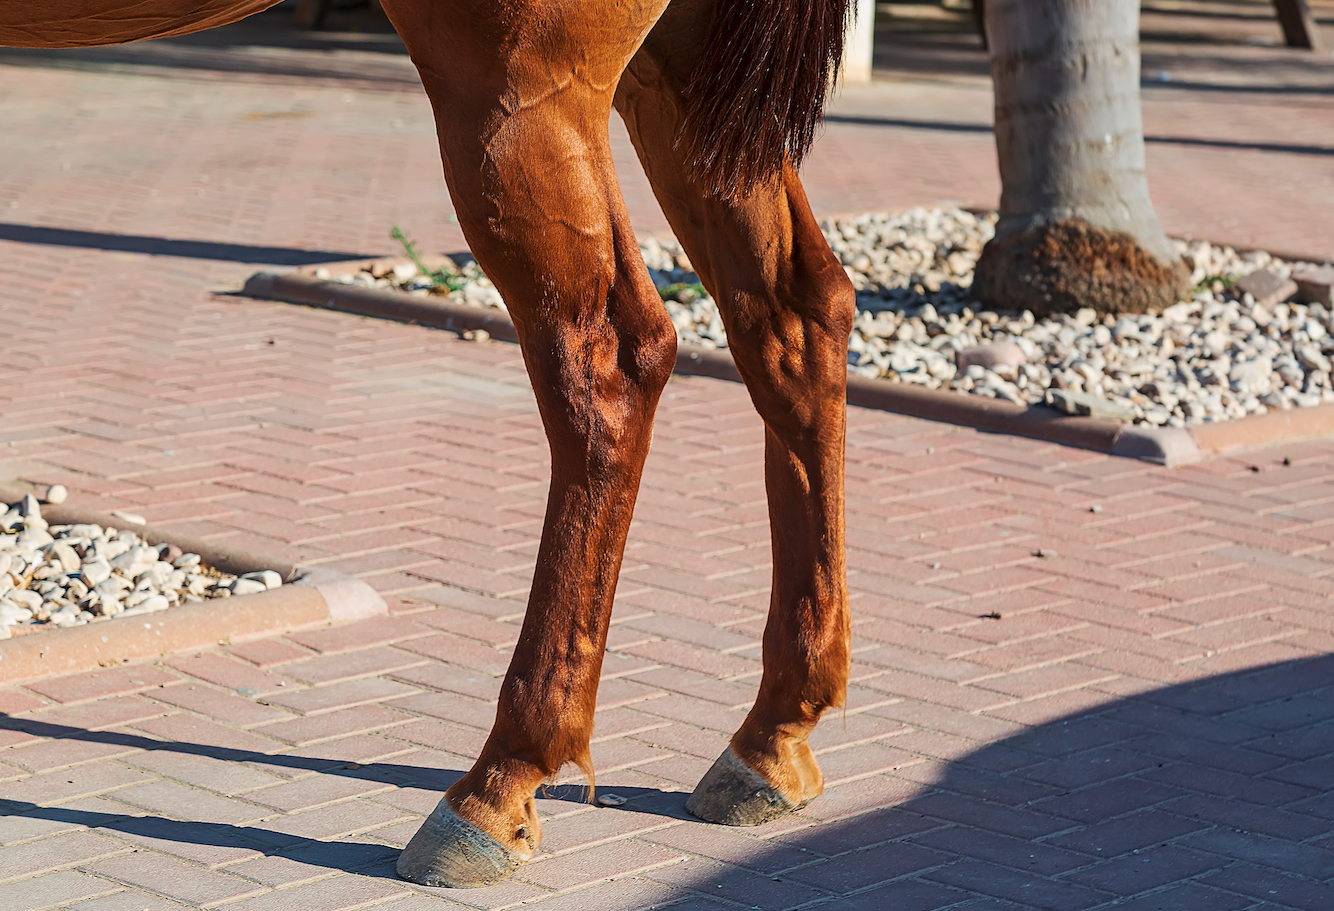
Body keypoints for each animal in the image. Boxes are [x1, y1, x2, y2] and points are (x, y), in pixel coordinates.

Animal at [5, 0, 857, 887]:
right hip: (690, 75)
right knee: (795, 315)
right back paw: (773, 736)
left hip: (516, 92)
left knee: (608, 365)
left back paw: (499, 781)